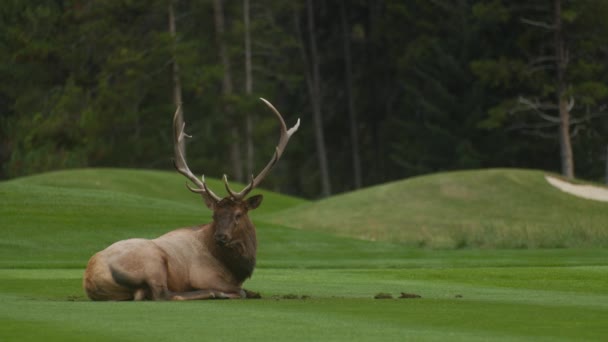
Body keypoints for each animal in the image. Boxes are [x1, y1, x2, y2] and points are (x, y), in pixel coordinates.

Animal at [82, 98, 300, 300]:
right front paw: (224, 292)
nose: (220, 237)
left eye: (238, 214)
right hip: (152, 262)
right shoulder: (205, 276)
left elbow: (254, 292)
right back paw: (213, 293)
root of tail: (90, 276)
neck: (237, 269)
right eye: (214, 215)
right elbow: (242, 292)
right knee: (164, 295)